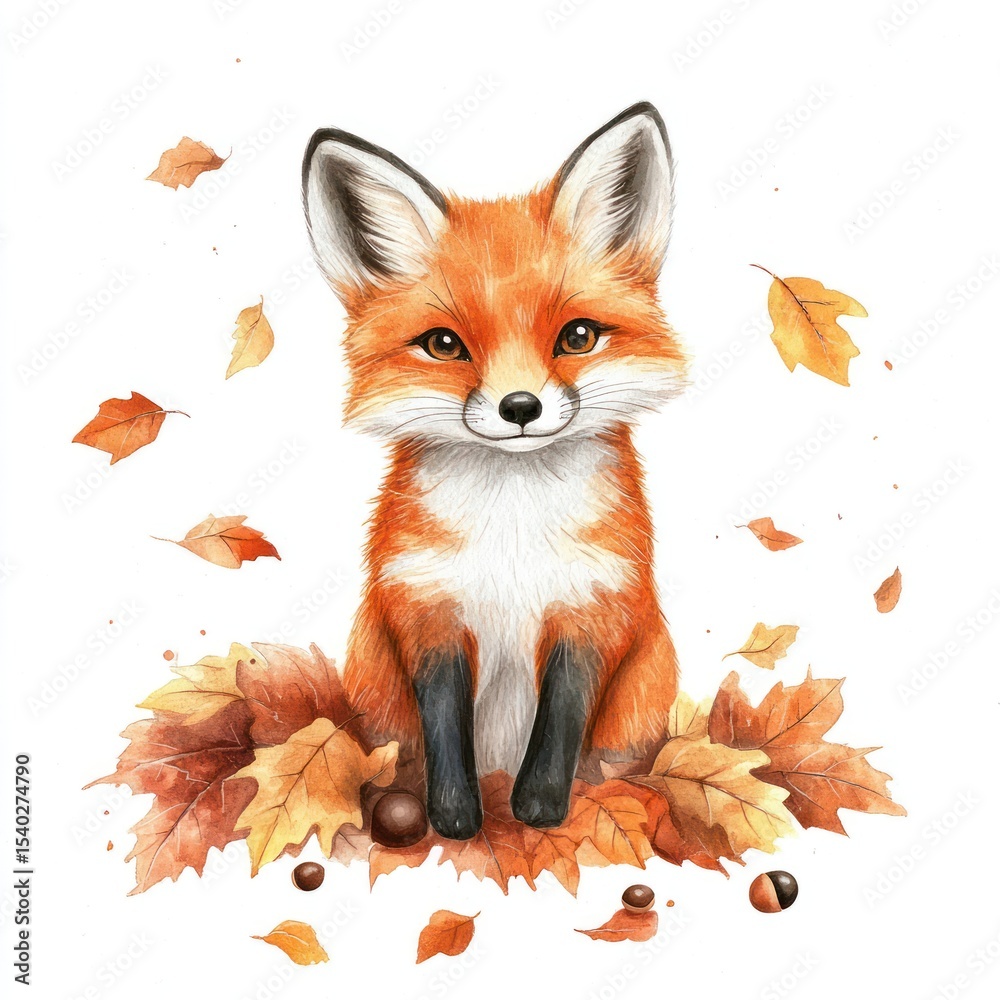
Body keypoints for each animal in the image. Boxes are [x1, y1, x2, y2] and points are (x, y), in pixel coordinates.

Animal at [302, 102, 687, 840]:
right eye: (444, 345)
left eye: (577, 337)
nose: (520, 408)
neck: (513, 527)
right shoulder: (428, 611)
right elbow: (445, 729)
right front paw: (455, 820)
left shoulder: (592, 609)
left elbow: (560, 724)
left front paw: (538, 812)